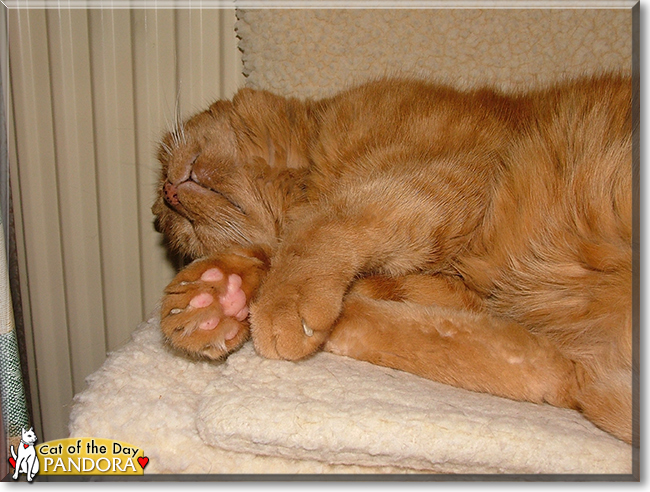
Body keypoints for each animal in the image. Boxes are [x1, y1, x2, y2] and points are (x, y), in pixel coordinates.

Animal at [152, 74, 632, 446]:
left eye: (165, 196)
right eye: (179, 223)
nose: (169, 195)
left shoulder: (452, 177)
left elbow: (327, 224)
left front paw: (270, 296)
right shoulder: (460, 288)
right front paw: (214, 296)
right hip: (590, 374)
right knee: (524, 363)